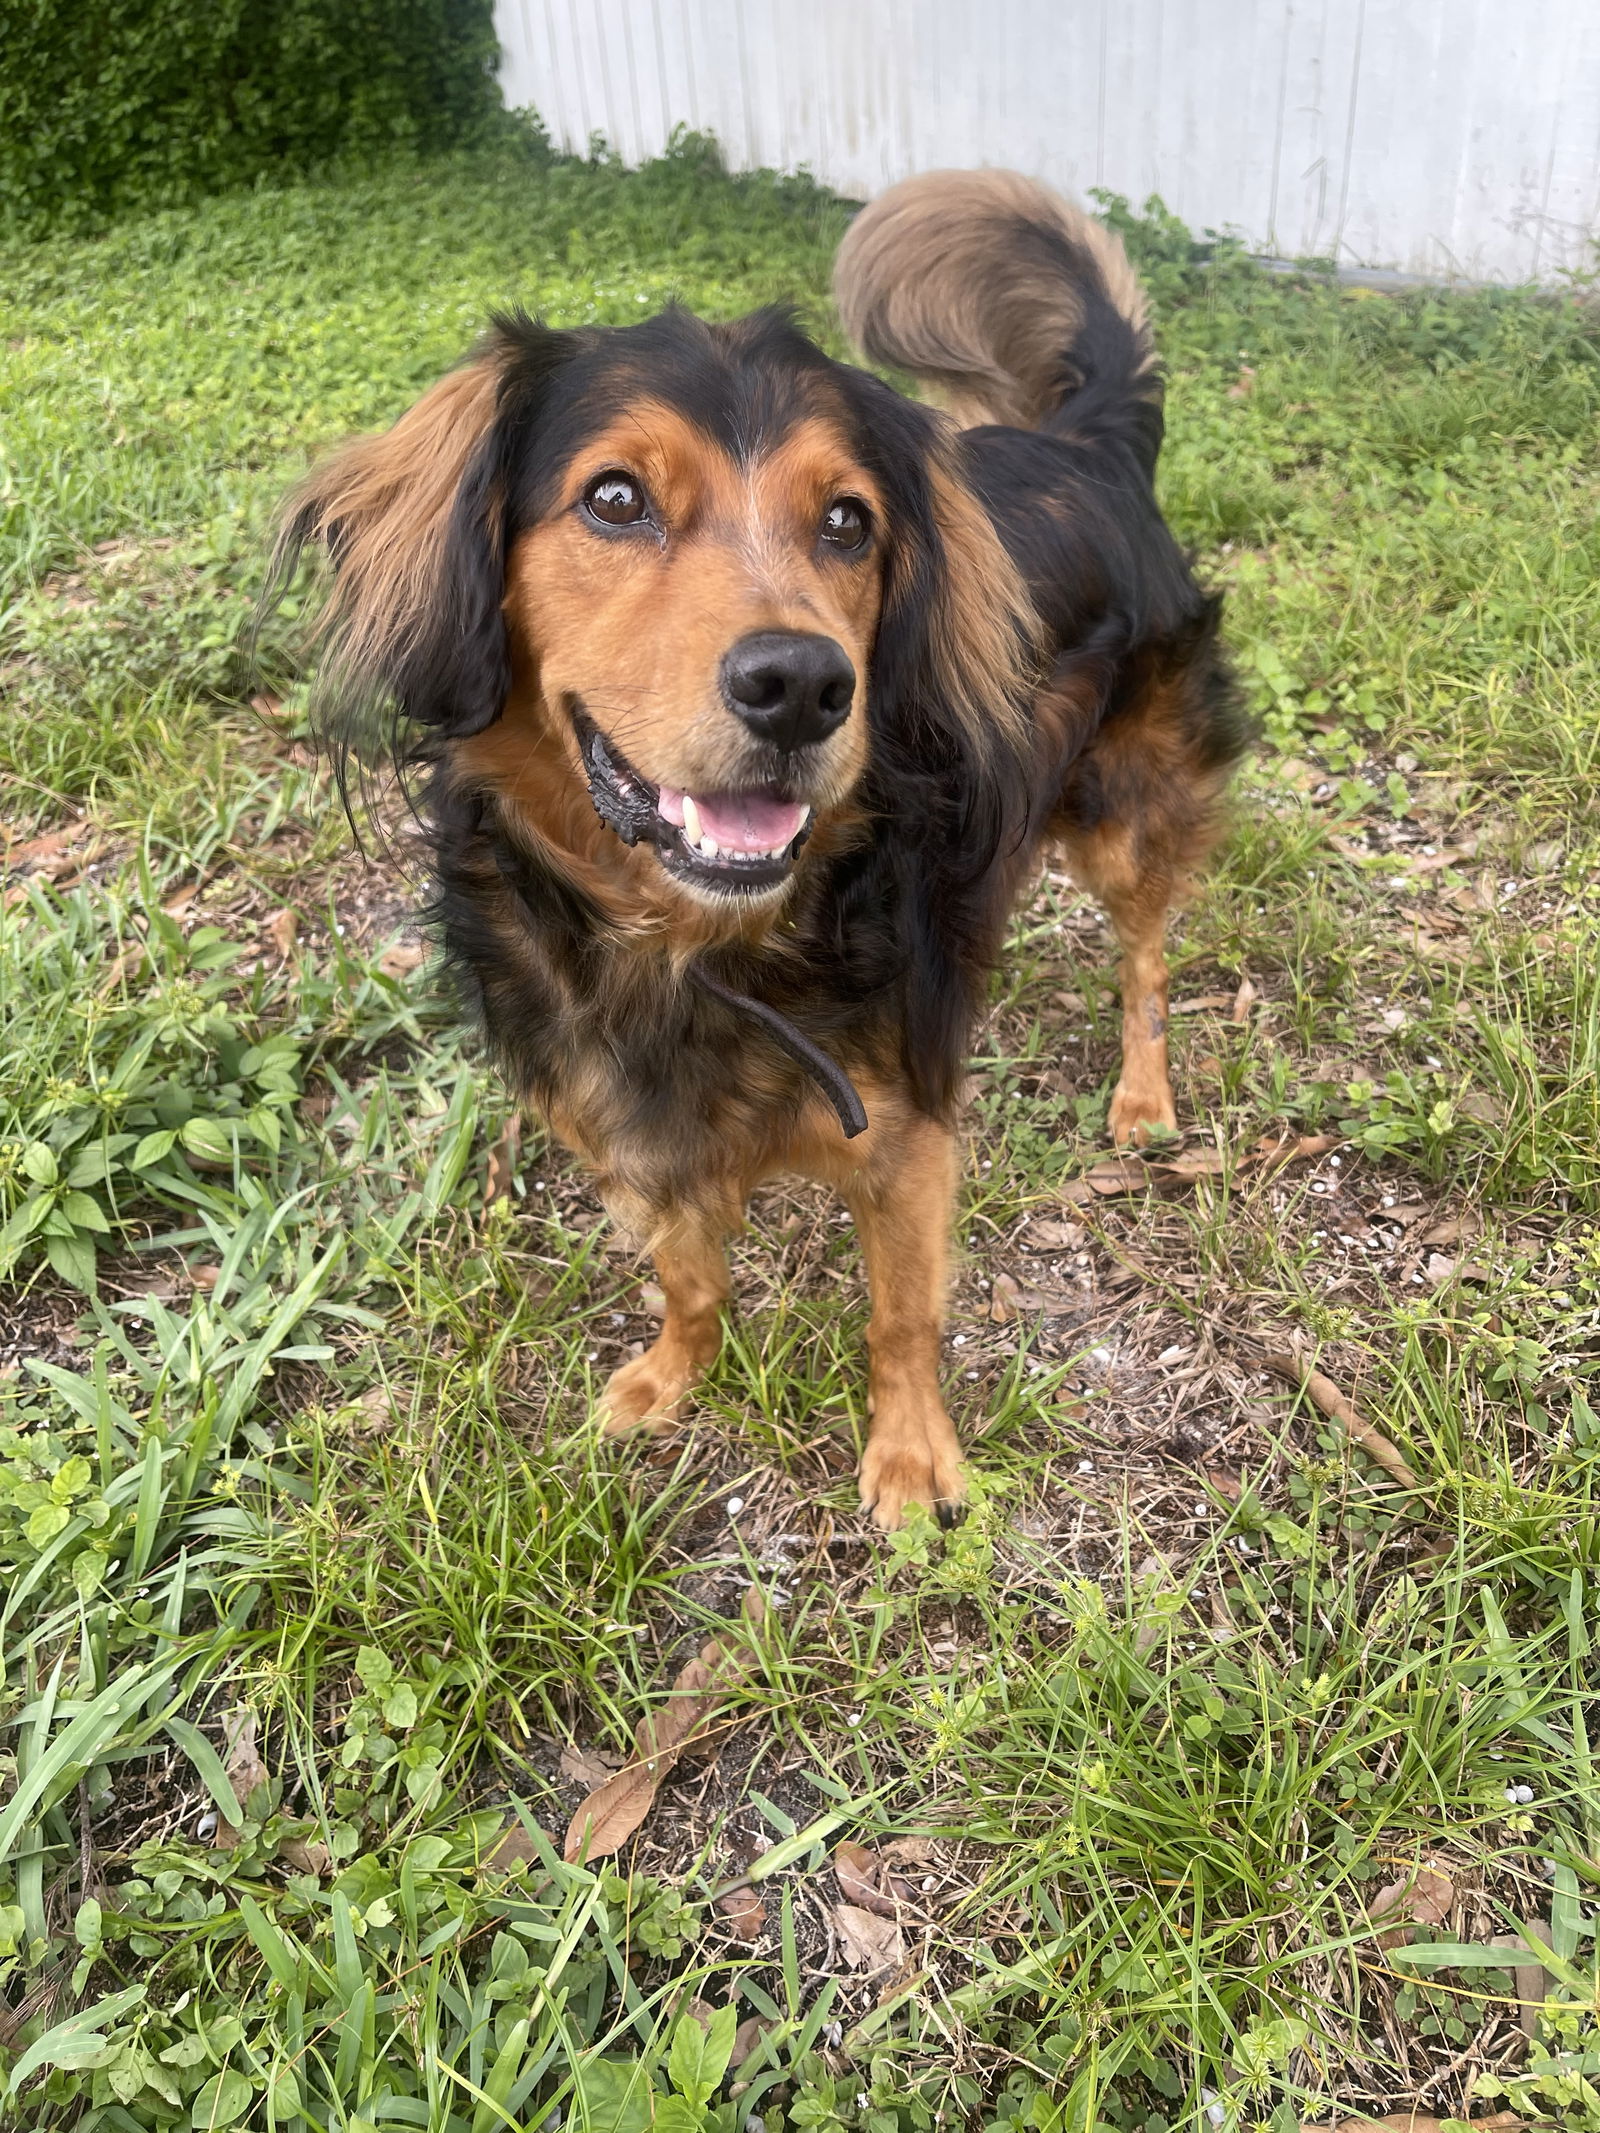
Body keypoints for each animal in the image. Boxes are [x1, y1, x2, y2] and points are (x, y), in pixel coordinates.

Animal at [275, 170, 1254, 1535]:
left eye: (848, 523)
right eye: (614, 499)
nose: (801, 686)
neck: (692, 946)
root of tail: (1085, 444)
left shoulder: (902, 1134)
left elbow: (902, 1318)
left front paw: (910, 1463)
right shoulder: (618, 1121)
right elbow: (690, 1274)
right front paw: (671, 1376)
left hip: (1124, 807)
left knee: (1148, 959)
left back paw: (1143, 1097)